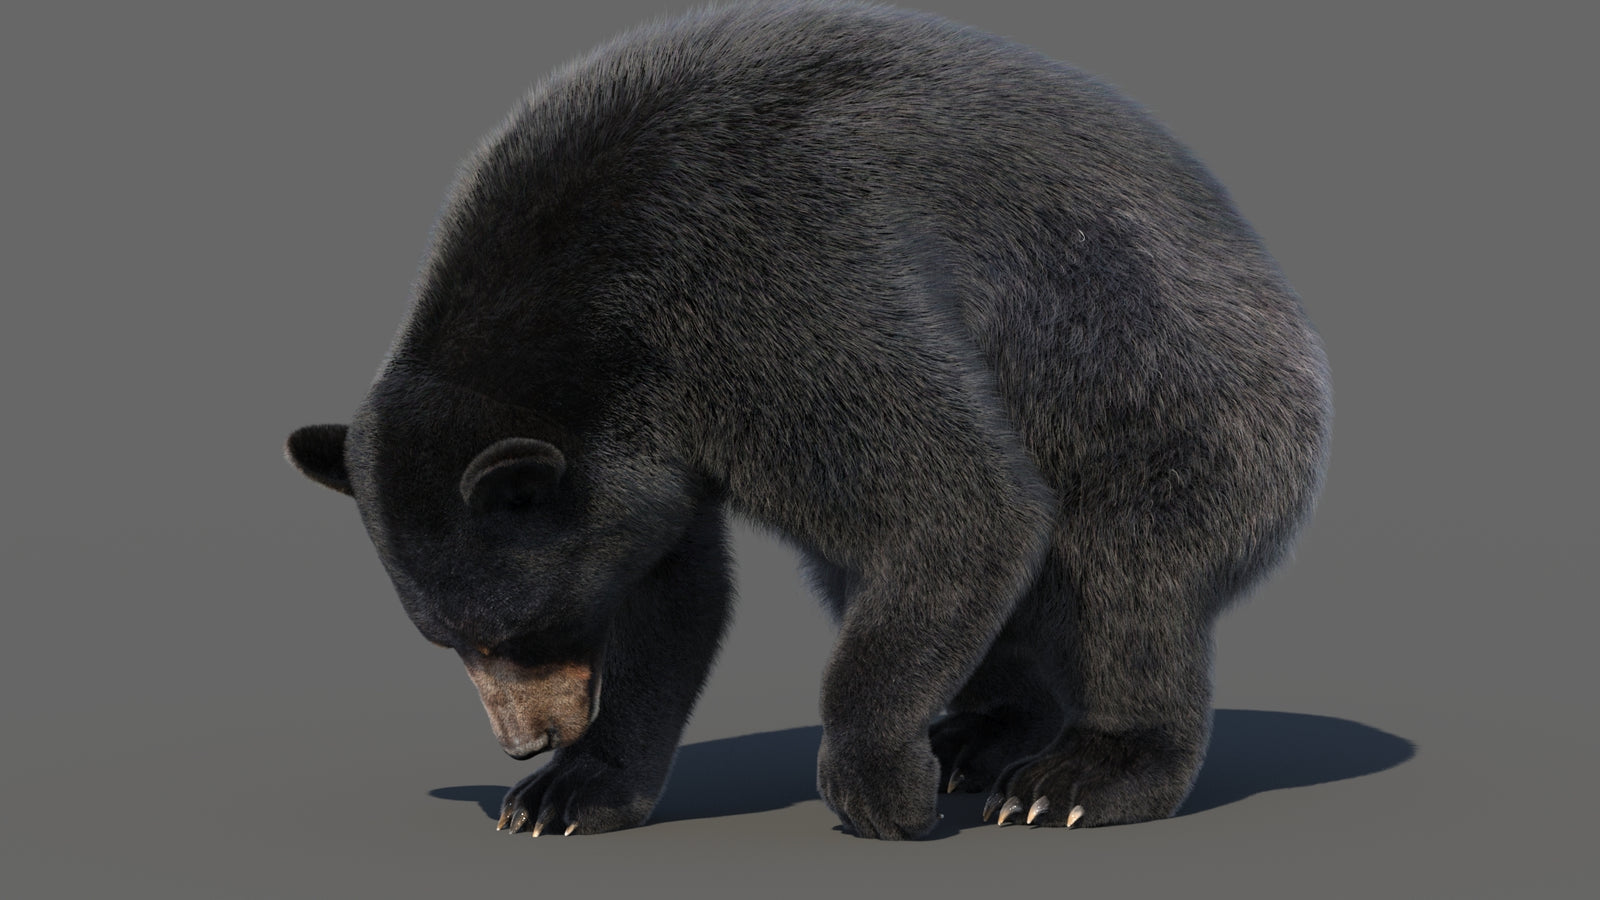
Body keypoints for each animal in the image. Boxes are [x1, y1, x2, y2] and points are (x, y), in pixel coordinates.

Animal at [285, 0, 1331, 840]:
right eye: (448, 639)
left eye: (522, 628)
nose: (525, 739)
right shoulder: (651, 433)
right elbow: (674, 587)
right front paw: (569, 793)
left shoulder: (772, 294)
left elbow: (959, 502)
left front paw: (878, 785)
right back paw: (982, 732)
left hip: (1167, 389)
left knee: (1130, 576)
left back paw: (1078, 776)